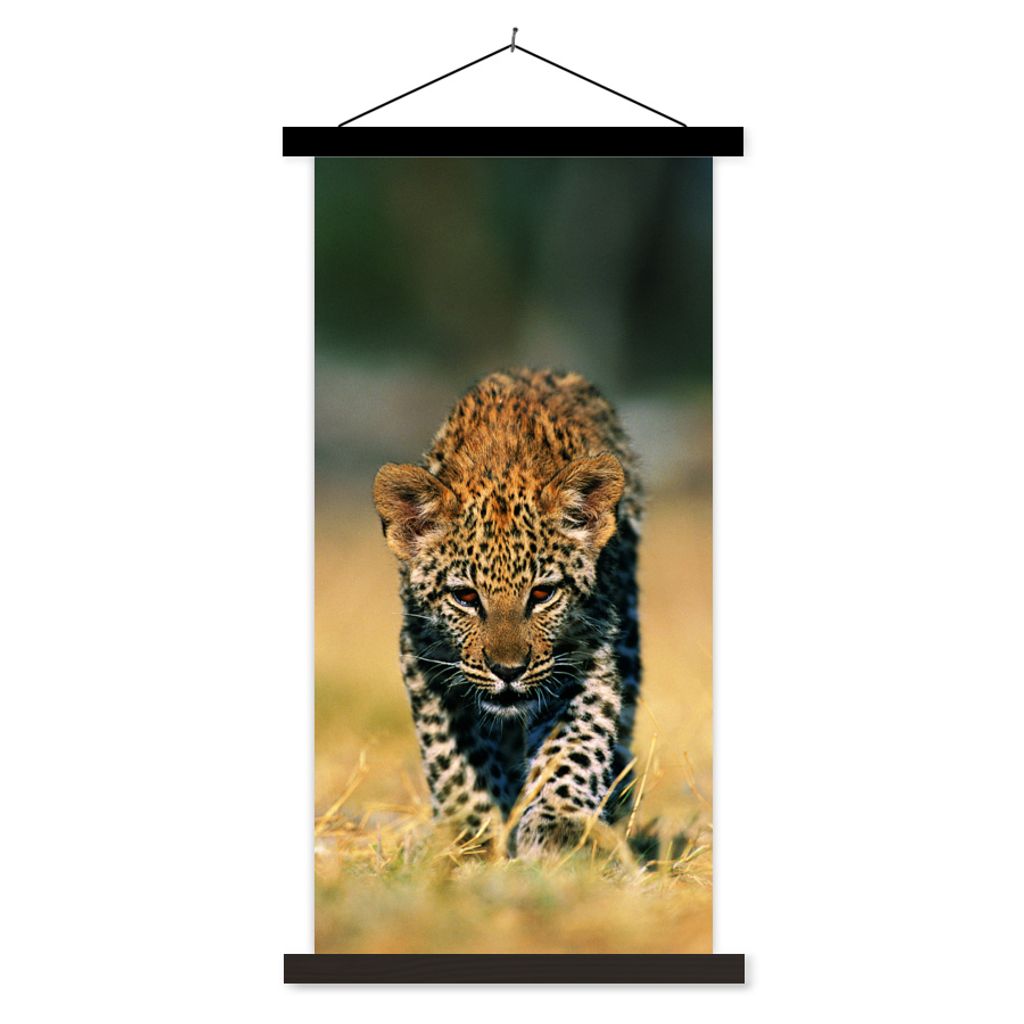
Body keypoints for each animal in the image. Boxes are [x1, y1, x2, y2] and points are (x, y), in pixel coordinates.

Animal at [373, 368, 643, 858]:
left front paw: (559, 828)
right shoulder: (425, 660)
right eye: (465, 597)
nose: (508, 671)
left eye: (542, 593)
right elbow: (454, 760)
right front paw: (472, 834)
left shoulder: (587, 658)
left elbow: (572, 747)